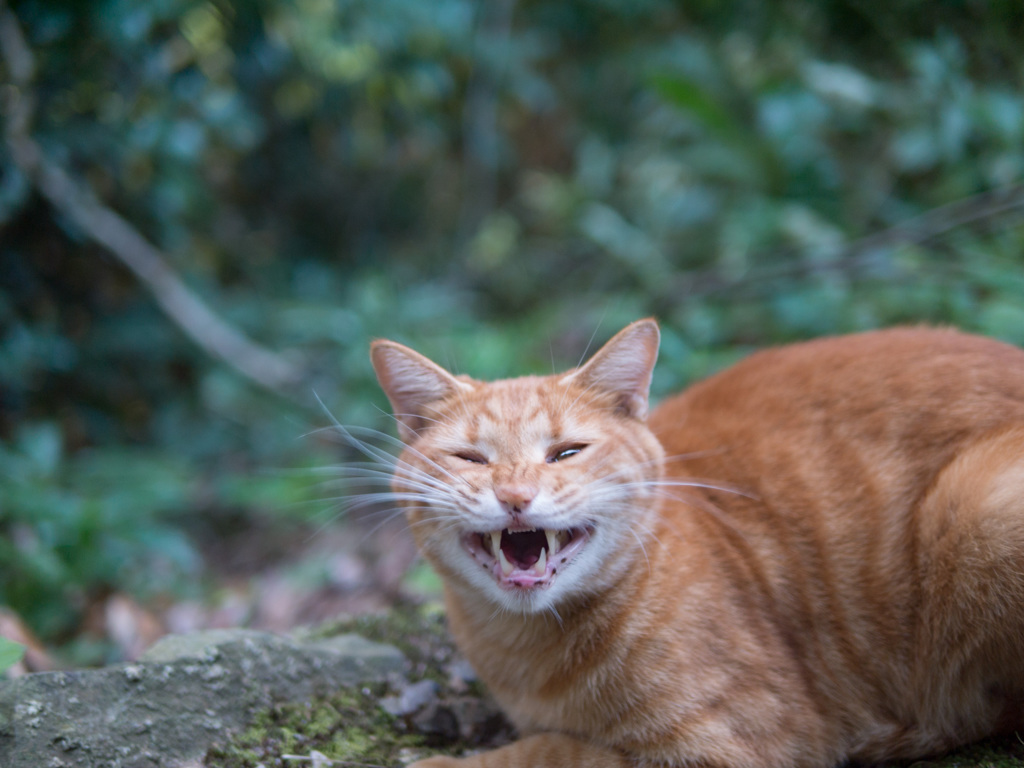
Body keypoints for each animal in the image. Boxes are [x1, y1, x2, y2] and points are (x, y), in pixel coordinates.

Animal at [368, 321, 1024, 765]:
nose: (514, 495)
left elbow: (556, 752)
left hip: (978, 507)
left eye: (566, 453)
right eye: (471, 459)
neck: (526, 654)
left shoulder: (742, 744)